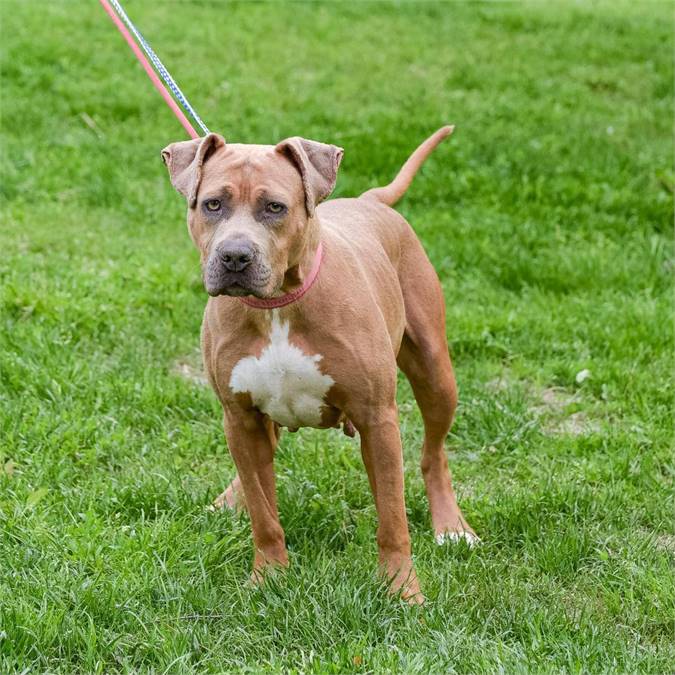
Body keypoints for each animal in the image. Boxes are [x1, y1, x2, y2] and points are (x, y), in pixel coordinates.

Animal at [161, 127, 478, 604]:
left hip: (436, 374)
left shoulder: (378, 418)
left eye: (275, 207)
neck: (276, 303)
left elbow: (392, 518)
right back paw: (230, 500)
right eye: (212, 204)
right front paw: (268, 577)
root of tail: (369, 200)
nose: (235, 256)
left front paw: (402, 589)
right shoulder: (239, 417)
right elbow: (264, 514)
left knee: (433, 453)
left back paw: (450, 526)